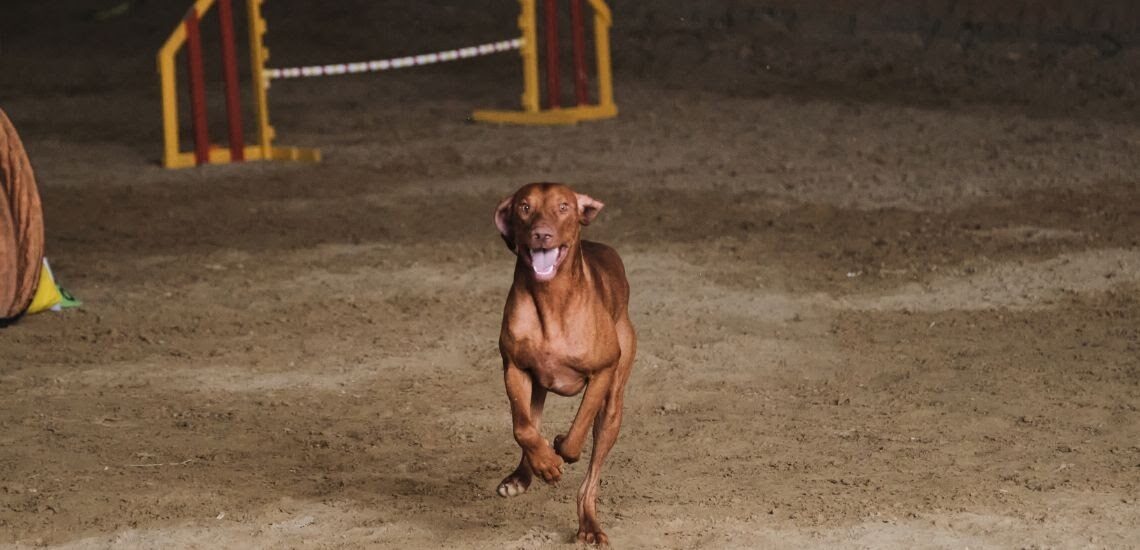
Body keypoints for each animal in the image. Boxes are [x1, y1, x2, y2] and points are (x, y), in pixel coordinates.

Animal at [492, 183, 636, 545]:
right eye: (525, 207)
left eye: (563, 207)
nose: (542, 234)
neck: (551, 298)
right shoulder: (513, 369)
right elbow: (523, 429)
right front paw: (545, 462)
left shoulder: (602, 373)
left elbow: (576, 435)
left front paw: (560, 447)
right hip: (536, 387)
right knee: (531, 422)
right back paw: (523, 474)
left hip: (613, 407)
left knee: (590, 479)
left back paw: (589, 525)